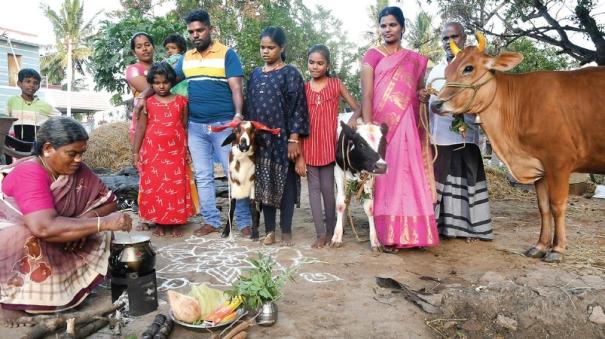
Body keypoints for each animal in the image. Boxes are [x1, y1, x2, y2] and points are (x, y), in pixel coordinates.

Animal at [330, 122, 386, 252]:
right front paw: (337, 236)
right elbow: (340, 204)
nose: (381, 167)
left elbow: (370, 208)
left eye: (383, 142)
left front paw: (375, 241)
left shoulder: (369, 176)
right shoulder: (338, 172)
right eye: (361, 144)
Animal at [430, 33, 604, 262]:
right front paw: (540, 245)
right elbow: (543, 207)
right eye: (447, 71)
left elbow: (557, 205)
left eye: (468, 68)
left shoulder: (559, 163)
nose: (435, 104)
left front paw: (557, 249)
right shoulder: (539, 167)